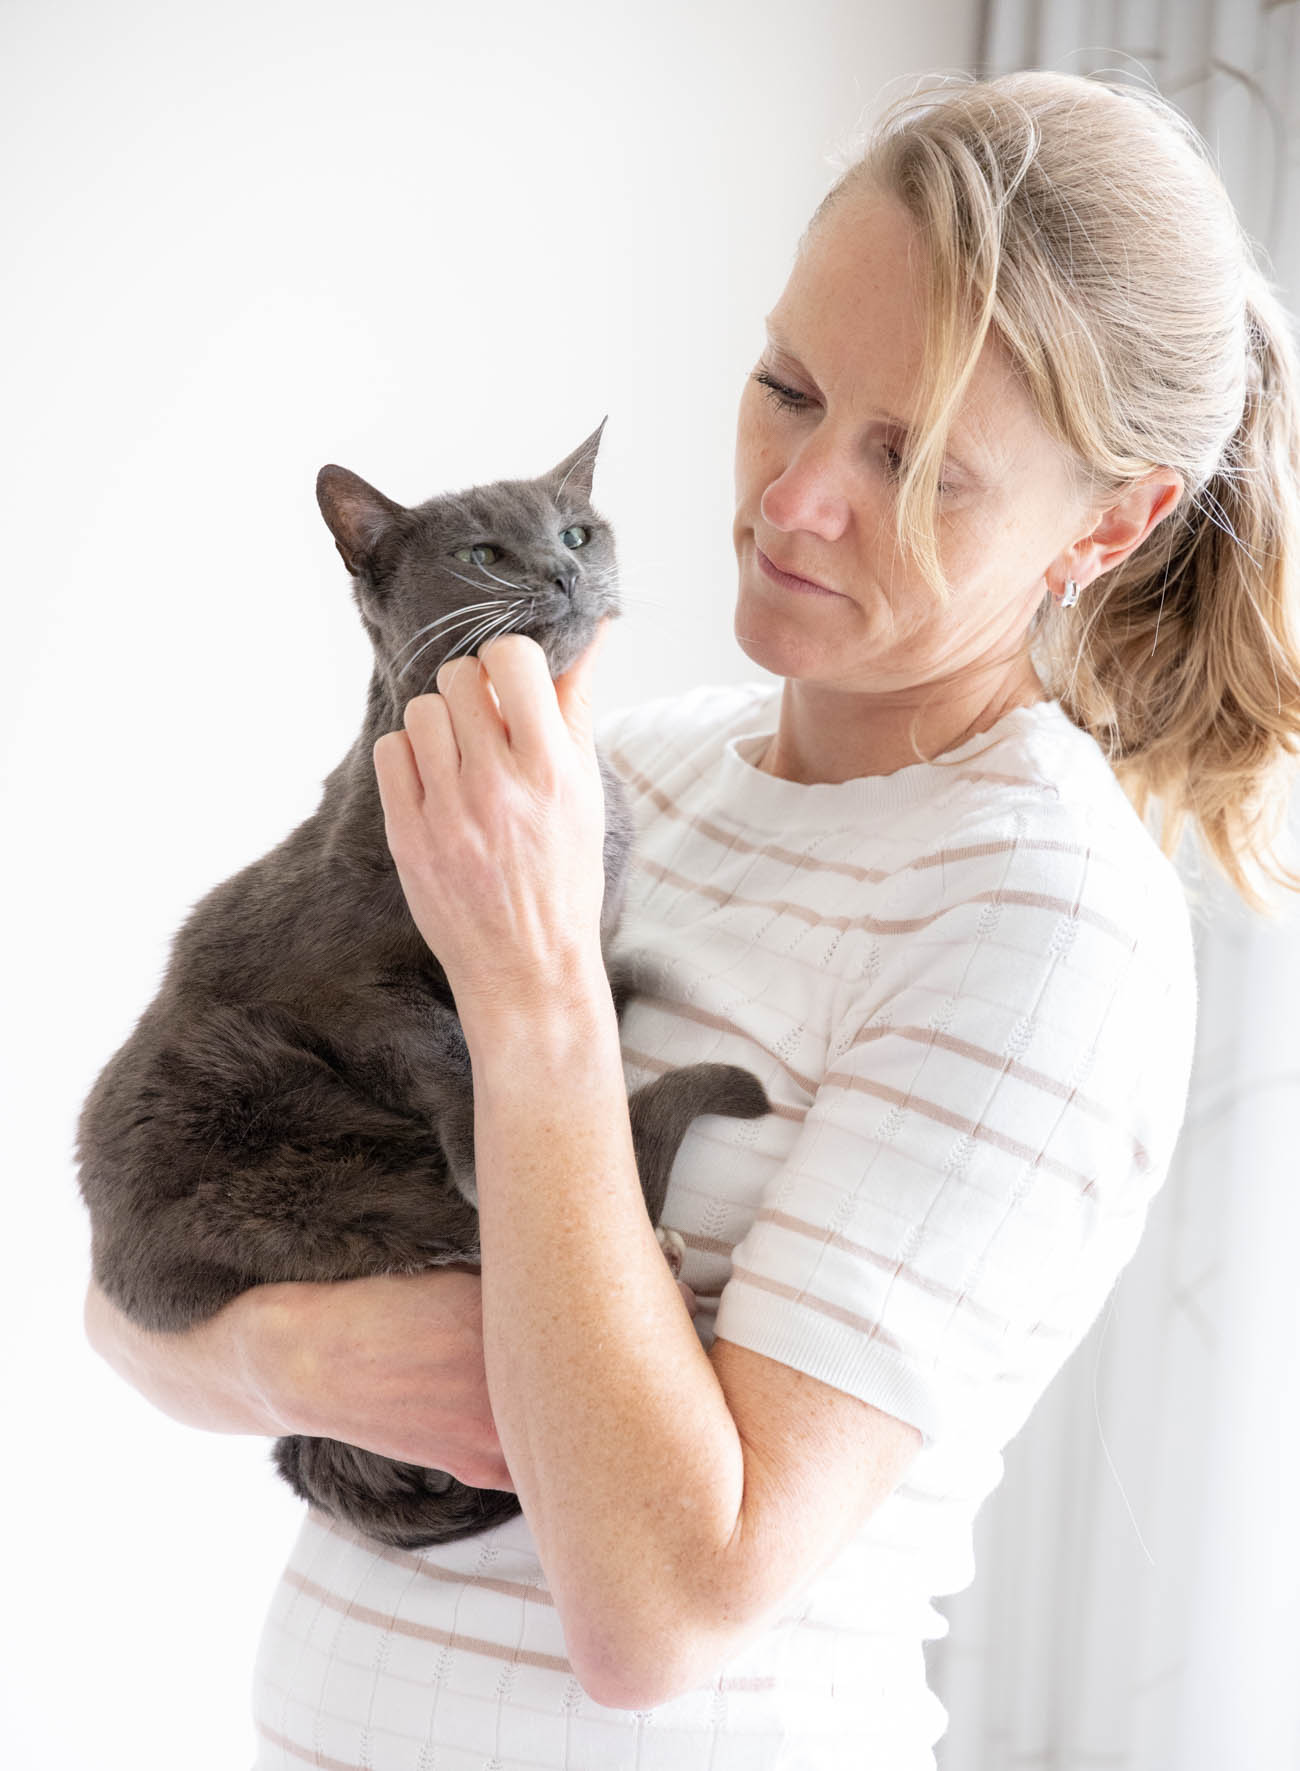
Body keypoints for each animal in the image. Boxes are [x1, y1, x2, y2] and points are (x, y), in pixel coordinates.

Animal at [78, 425, 772, 1551]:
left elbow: (592, 989)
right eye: (486, 554)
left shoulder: (582, 932)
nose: (562, 571)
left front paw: (628, 980)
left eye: (576, 531)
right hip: (284, 1170)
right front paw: (493, 1145)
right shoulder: (347, 977)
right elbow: (440, 1042)